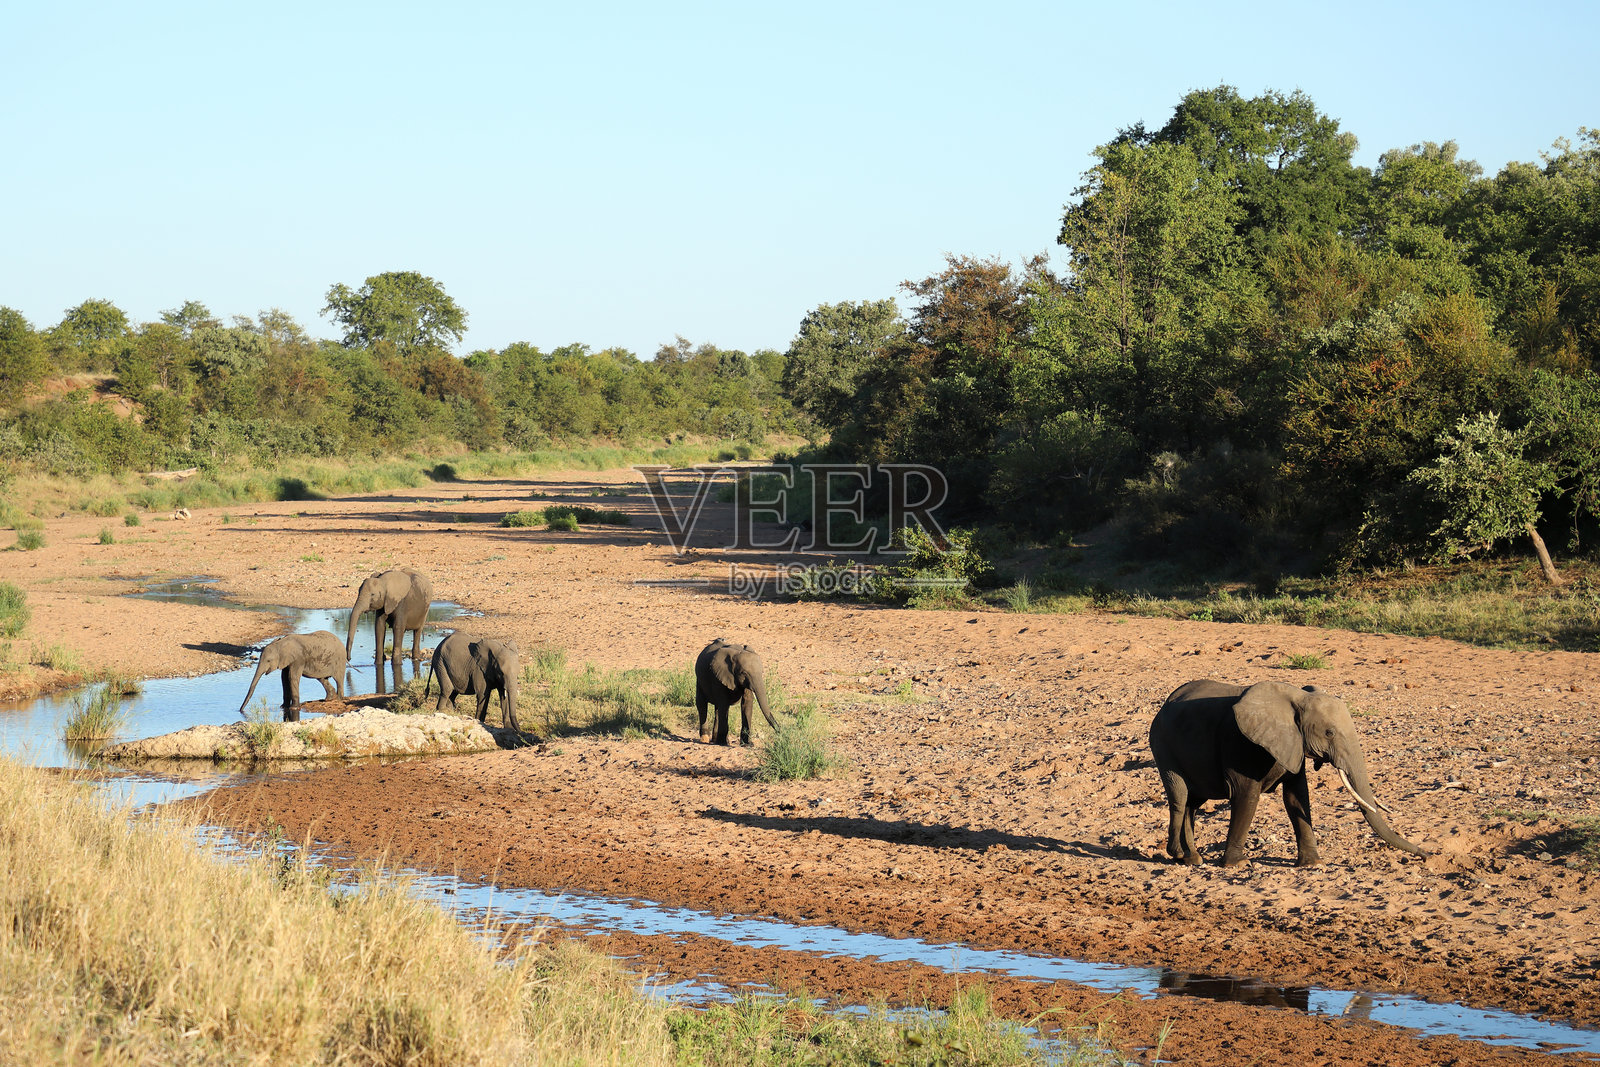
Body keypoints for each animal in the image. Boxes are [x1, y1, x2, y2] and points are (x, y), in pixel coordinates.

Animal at [1148, 679, 1427, 867]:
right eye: (1329, 733)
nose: (1427, 855)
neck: (1297, 697)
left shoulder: (1294, 744)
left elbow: (1296, 797)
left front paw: (1313, 864)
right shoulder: (1241, 743)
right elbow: (1247, 796)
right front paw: (1239, 864)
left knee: (1193, 803)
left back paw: (1192, 858)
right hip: (1162, 745)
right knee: (1180, 798)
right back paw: (1180, 855)